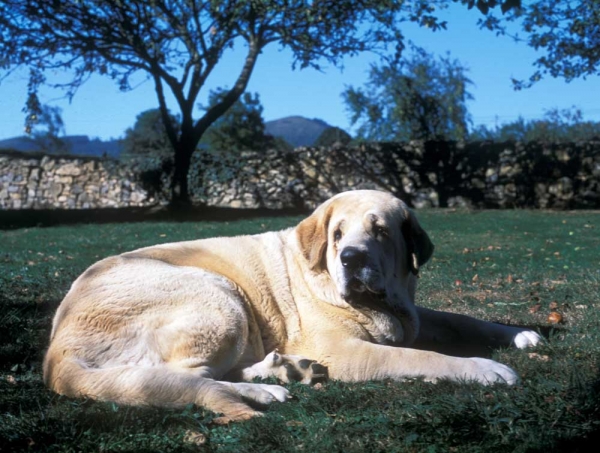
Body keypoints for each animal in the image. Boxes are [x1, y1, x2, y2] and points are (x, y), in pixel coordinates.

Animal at [42, 190, 540, 420]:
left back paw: (282, 372)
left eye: (380, 231)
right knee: (185, 377)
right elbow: (422, 357)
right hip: (218, 294)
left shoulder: (413, 315)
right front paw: (483, 368)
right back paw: (264, 390)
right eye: (337, 234)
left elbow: (459, 319)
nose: (351, 257)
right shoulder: (345, 350)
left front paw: (518, 334)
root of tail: (56, 353)